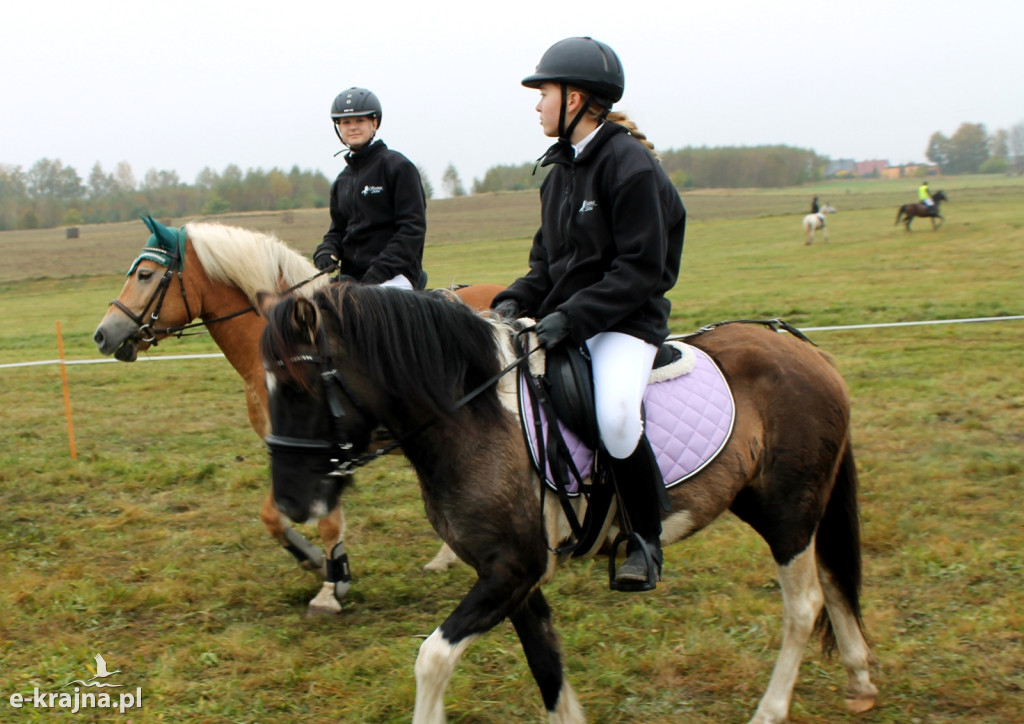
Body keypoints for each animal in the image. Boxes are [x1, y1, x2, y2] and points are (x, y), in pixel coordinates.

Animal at [94, 217, 501, 618]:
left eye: (145, 274)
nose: (102, 334)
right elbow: (273, 517)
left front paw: (331, 586)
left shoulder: (323, 452)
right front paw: (315, 562)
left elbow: (326, 523)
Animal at [260, 284, 876, 724]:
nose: (290, 502)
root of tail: (802, 347)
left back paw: (770, 711)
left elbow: (432, 659)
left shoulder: (512, 569)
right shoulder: (512, 576)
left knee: (804, 605)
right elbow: (546, 665)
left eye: (295, 388)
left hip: (787, 510)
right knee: (833, 579)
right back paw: (860, 681)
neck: (471, 414)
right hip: (779, 504)